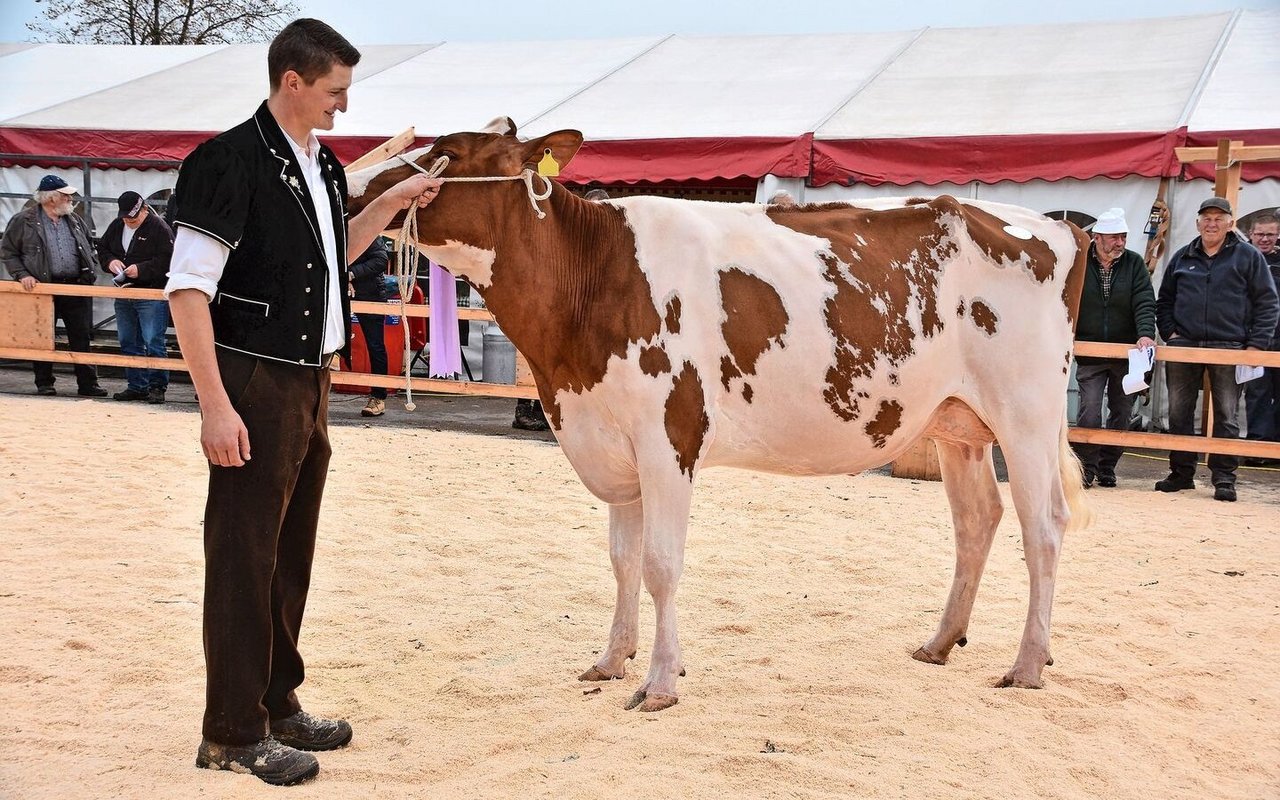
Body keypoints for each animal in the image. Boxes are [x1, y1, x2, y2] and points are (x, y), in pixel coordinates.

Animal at [348, 118, 1090, 711]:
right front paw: (611, 660)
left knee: (1044, 528)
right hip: (957, 422)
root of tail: (1053, 226)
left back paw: (1028, 664)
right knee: (977, 520)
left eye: (446, 150)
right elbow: (622, 560)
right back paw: (940, 642)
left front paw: (659, 683)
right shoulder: (613, 442)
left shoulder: (668, 437)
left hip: (1025, 413)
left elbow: (660, 565)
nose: (355, 187)